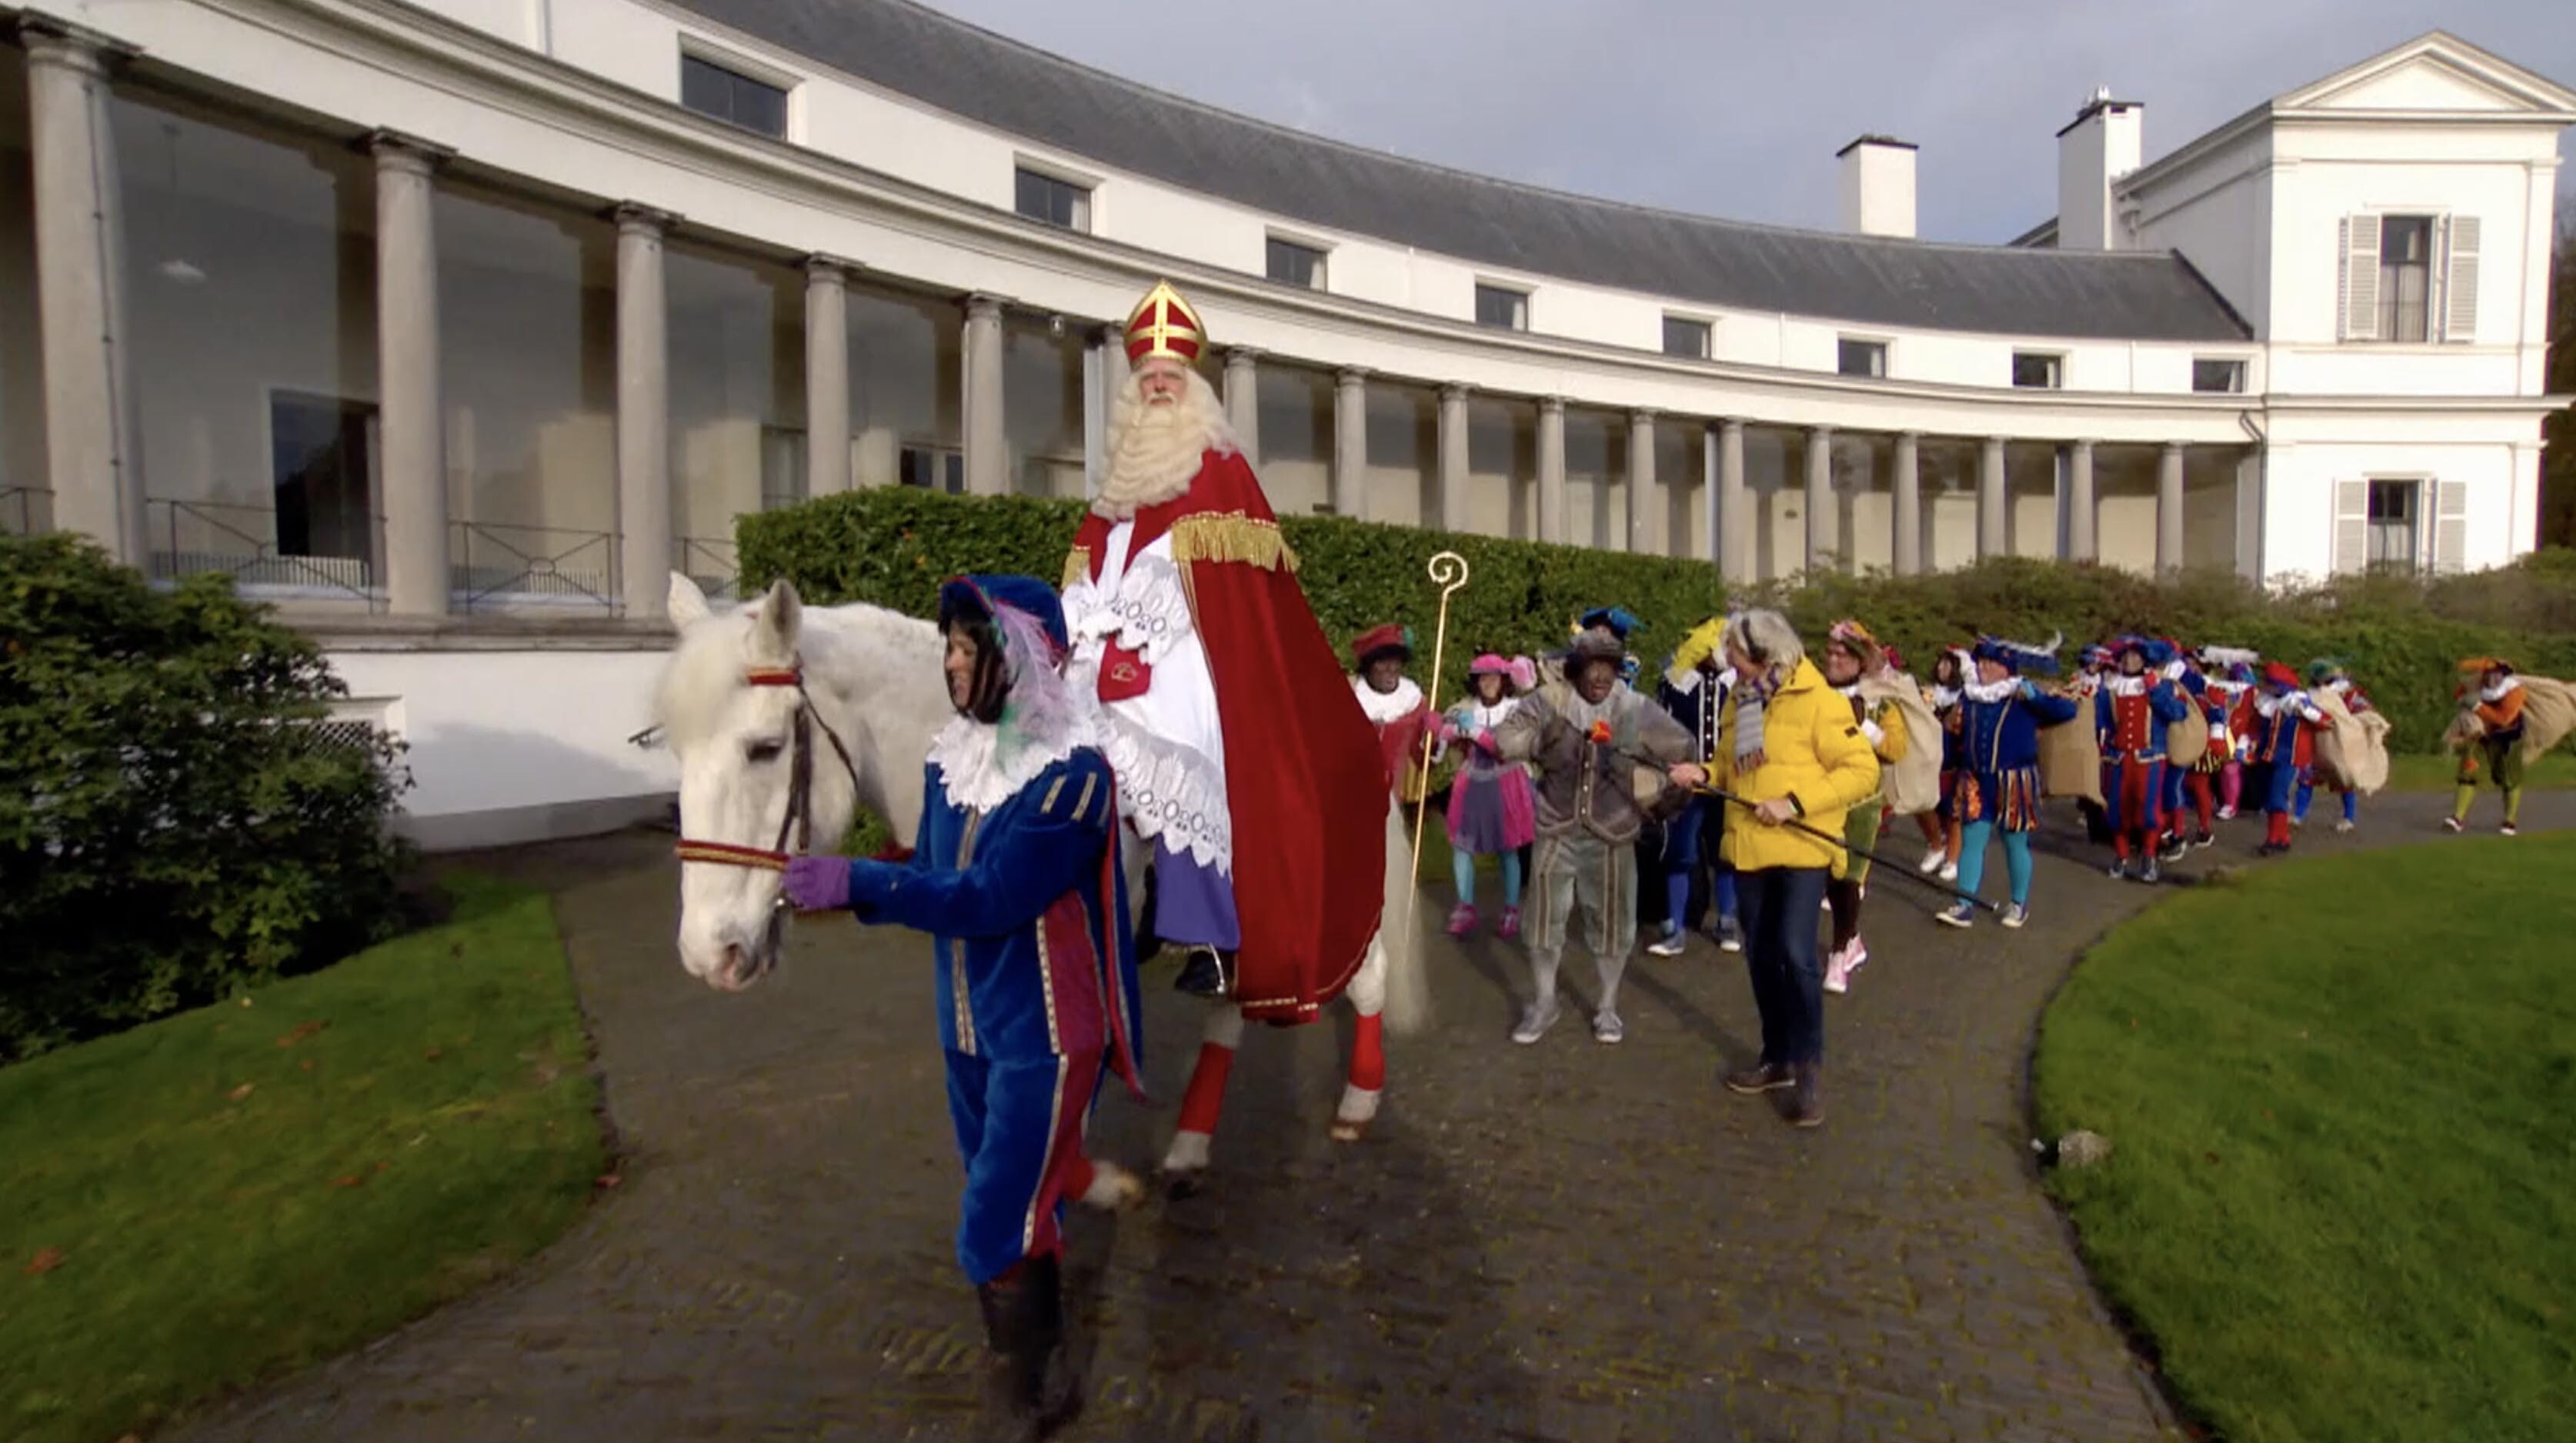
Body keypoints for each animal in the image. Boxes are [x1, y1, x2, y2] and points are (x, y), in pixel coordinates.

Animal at [654, 569, 1432, 1190]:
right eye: (676, 750)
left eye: (765, 747)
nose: (708, 953)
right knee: (1231, 1015)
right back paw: (1189, 1145)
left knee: (1365, 980)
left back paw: (1357, 1103)